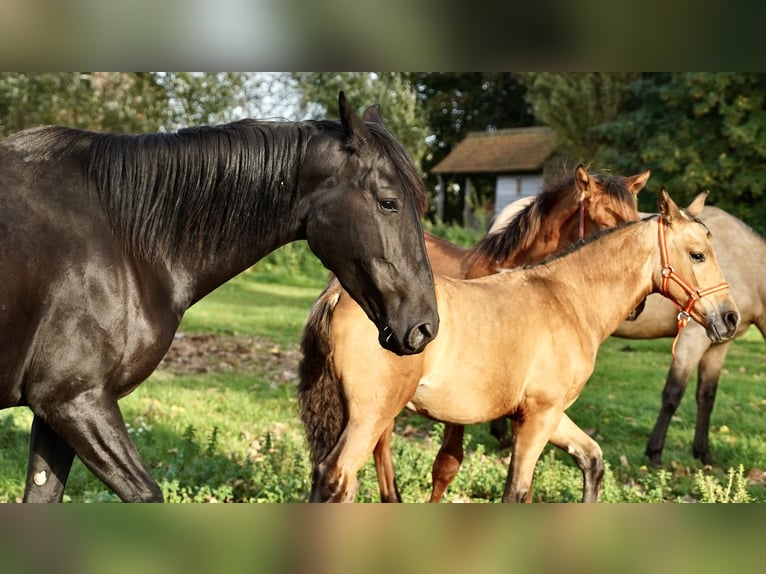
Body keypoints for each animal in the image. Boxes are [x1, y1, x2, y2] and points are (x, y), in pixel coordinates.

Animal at [300, 190, 736, 504]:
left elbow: (591, 461)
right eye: (697, 254)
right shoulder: (539, 417)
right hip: (371, 415)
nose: (729, 318)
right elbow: (517, 492)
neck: (568, 298)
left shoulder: (548, 414)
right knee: (336, 477)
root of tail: (338, 294)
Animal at [616, 207, 766, 468]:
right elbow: (673, 393)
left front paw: (704, 454)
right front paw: (655, 453)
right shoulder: (693, 338)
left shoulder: (719, 344)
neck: (746, 264)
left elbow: (706, 396)